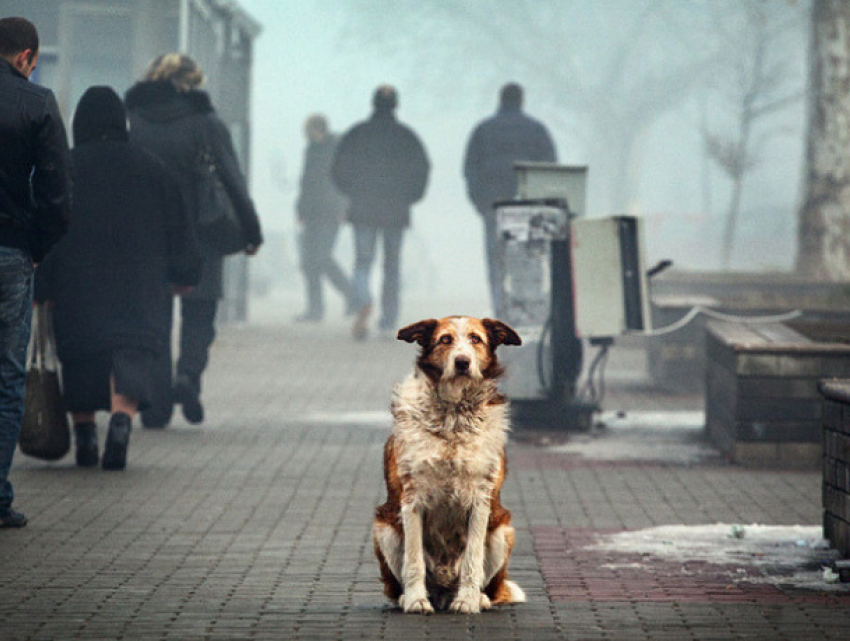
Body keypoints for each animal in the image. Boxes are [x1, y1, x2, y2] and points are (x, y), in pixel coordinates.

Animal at [372, 318, 524, 612]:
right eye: (445, 339)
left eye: (476, 339)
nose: (462, 362)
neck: (454, 415)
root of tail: (443, 591)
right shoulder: (412, 500)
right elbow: (414, 560)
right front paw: (416, 600)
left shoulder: (480, 501)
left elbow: (472, 560)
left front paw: (467, 601)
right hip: (384, 528)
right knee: (397, 582)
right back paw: (408, 597)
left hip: (503, 530)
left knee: (488, 583)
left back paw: (479, 597)